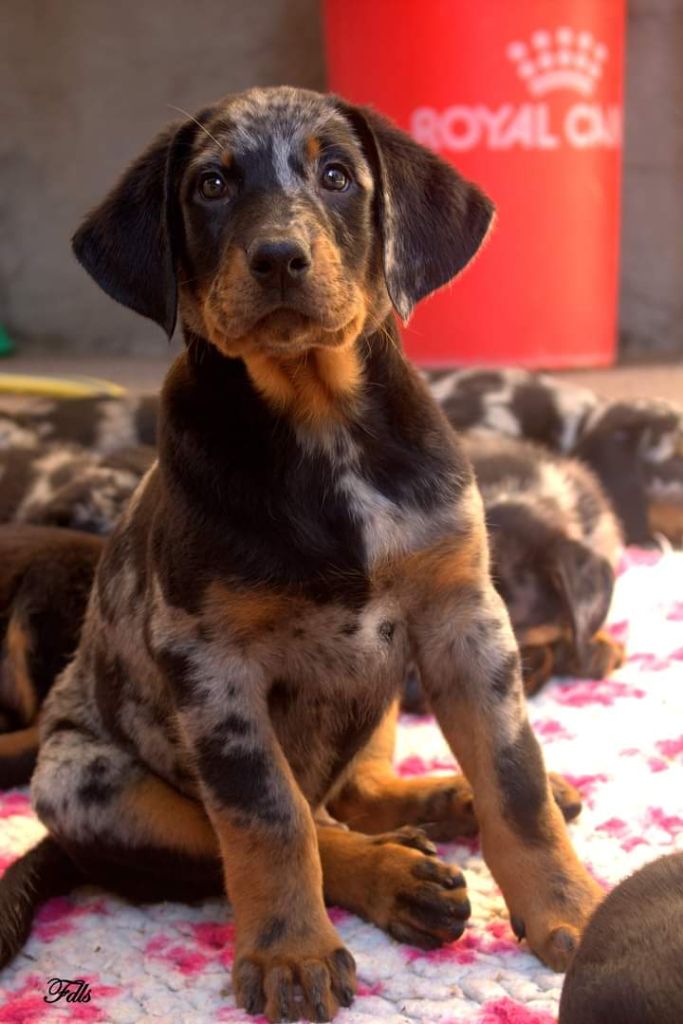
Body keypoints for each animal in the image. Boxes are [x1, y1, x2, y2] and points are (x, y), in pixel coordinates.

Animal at [0, 86, 602, 1024]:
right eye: (210, 185)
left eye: (337, 176)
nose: (279, 258)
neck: (319, 425)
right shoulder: (212, 666)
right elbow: (266, 818)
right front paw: (291, 954)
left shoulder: (465, 619)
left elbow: (516, 780)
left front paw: (567, 907)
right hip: (90, 783)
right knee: (282, 826)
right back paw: (395, 876)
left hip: (385, 687)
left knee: (353, 790)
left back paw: (444, 798)